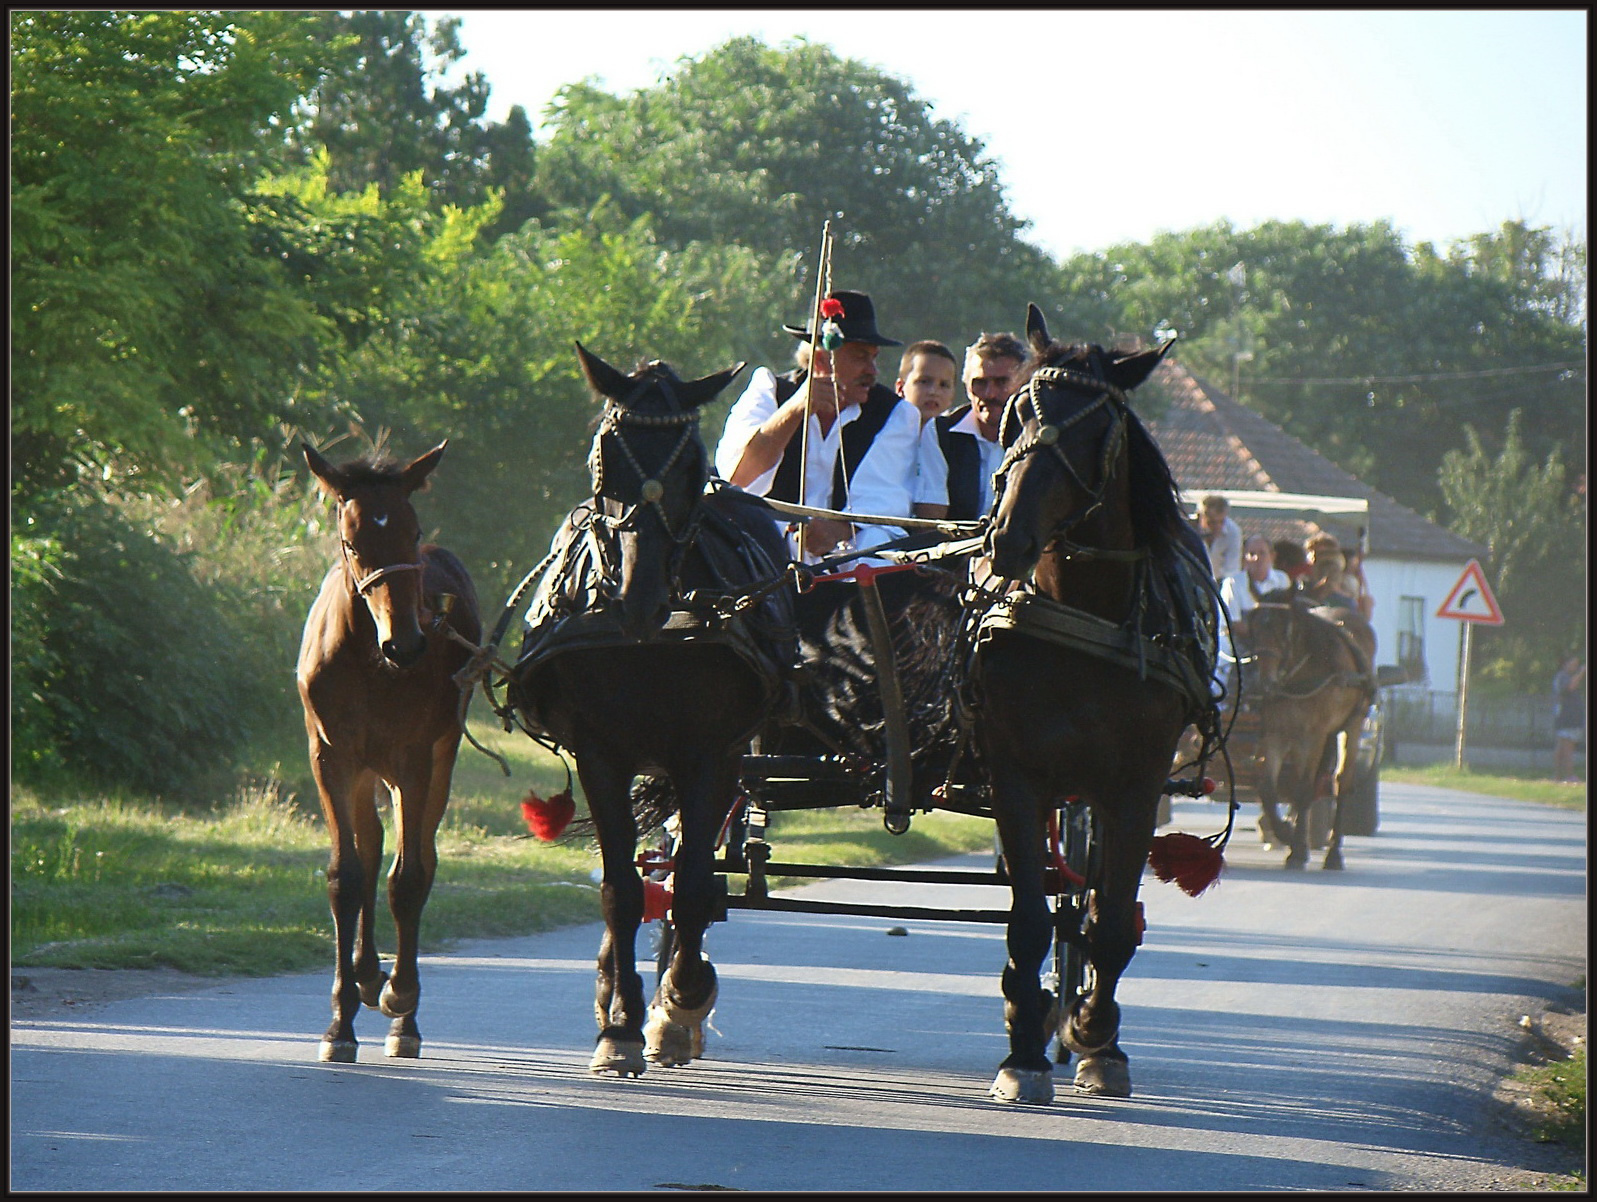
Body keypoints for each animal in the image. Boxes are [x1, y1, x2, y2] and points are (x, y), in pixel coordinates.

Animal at [297, 440, 475, 1059]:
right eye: (352, 541)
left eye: (411, 530)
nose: (407, 644)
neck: (368, 660)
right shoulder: (331, 758)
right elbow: (346, 875)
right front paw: (339, 1021)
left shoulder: (413, 759)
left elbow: (408, 877)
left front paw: (401, 1000)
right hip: (363, 770)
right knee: (371, 848)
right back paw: (366, 976)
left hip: (434, 758)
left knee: (418, 857)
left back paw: (397, 1006)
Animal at [970, 304, 1220, 1104]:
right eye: (1017, 414)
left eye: (1094, 431)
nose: (1008, 538)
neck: (1080, 612)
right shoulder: (1015, 777)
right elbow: (1026, 918)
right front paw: (1022, 1048)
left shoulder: (1135, 788)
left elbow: (1108, 923)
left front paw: (1096, 1037)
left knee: (1092, 909)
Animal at [1232, 603, 1373, 868]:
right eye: (1255, 632)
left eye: (1284, 633)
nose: (1265, 684)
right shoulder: (1276, 734)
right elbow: (1268, 787)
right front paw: (1285, 833)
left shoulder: (1314, 735)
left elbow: (1304, 788)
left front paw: (1296, 850)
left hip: (1352, 726)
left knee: (1340, 782)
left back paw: (1334, 854)